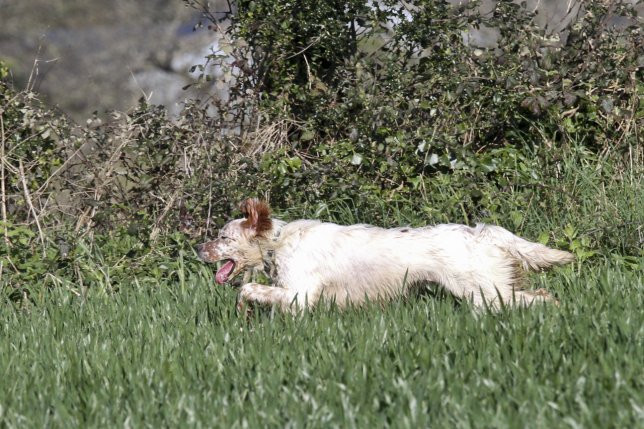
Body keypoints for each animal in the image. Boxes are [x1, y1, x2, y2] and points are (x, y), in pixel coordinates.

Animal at [196, 197, 572, 310]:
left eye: (223, 236)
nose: (198, 248)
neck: (278, 242)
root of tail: (480, 233)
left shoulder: (299, 294)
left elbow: (247, 289)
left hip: (484, 292)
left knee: (541, 299)